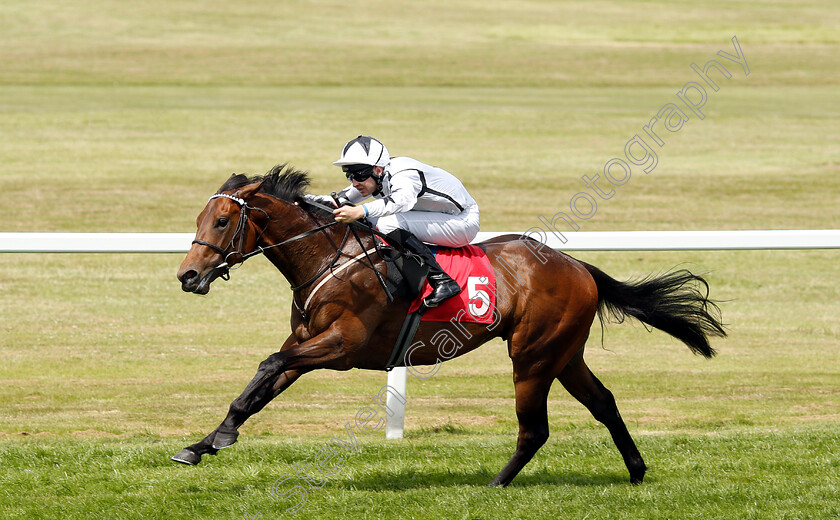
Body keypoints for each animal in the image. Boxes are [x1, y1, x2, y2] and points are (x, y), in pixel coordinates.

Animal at [174, 167, 724, 488]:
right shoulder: (307, 341)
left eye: (221, 222)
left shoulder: (341, 347)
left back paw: (496, 484)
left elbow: (268, 365)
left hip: (533, 355)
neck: (330, 256)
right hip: (565, 353)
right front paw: (204, 443)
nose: (188, 276)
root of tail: (577, 266)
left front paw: (214, 440)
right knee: (604, 402)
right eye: (199, 217)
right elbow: (258, 387)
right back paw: (636, 471)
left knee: (535, 428)